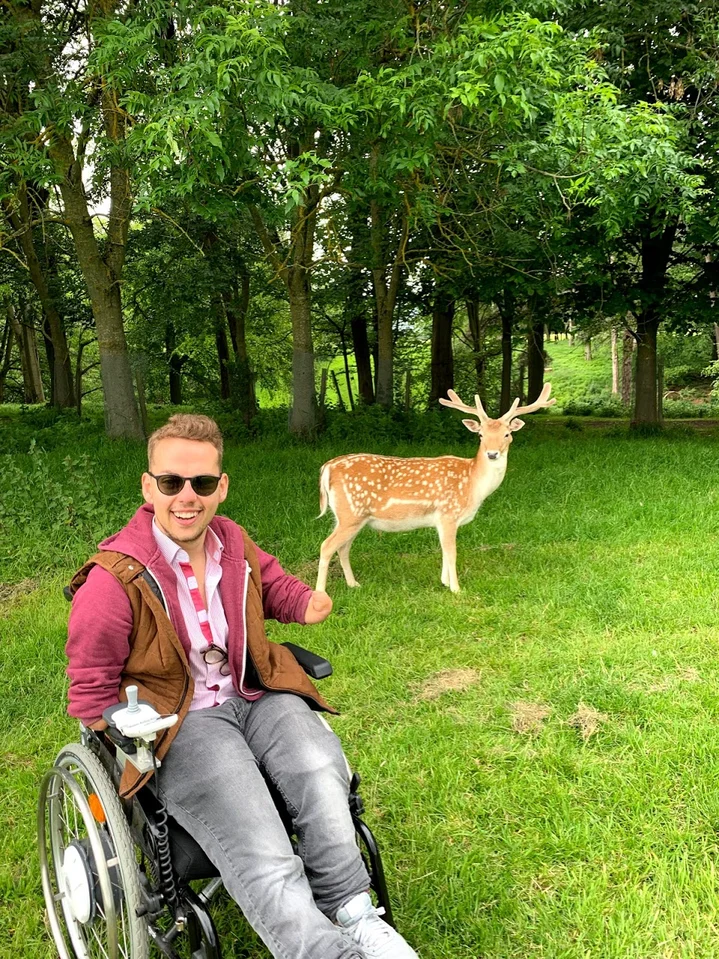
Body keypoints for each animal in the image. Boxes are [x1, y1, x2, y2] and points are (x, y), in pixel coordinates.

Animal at [316, 382, 556, 592]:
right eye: (480, 435)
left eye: (507, 434)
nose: (492, 453)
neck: (473, 485)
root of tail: (327, 467)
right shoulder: (449, 513)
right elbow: (452, 552)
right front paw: (457, 589)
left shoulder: (440, 520)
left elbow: (443, 551)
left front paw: (444, 582)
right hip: (351, 513)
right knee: (327, 546)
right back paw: (321, 592)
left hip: (350, 517)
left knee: (343, 547)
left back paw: (353, 584)